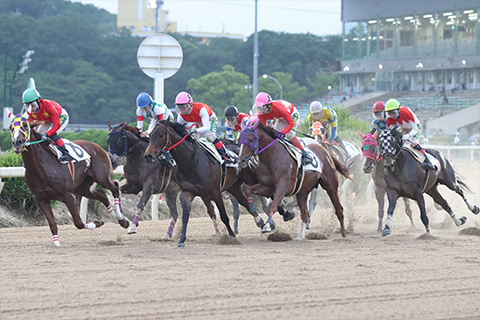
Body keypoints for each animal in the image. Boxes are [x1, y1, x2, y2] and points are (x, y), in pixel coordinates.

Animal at [9, 115, 129, 248]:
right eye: (10, 127)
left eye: (25, 125)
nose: (17, 142)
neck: (41, 166)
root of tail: (101, 148)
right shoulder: (40, 198)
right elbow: (52, 223)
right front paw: (56, 243)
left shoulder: (68, 195)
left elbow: (78, 222)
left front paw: (97, 222)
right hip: (82, 187)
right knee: (102, 194)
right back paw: (120, 220)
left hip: (103, 178)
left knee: (115, 187)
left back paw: (121, 218)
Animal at [144, 120, 264, 248]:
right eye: (150, 135)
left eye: (161, 135)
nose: (148, 155)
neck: (192, 162)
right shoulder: (186, 193)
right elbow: (185, 217)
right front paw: (181, 240)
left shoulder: (215, 193)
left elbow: (224, 216)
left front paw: (231, 236)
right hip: (234, 187)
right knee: (245, 203)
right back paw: (260, 221)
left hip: (251, 178)